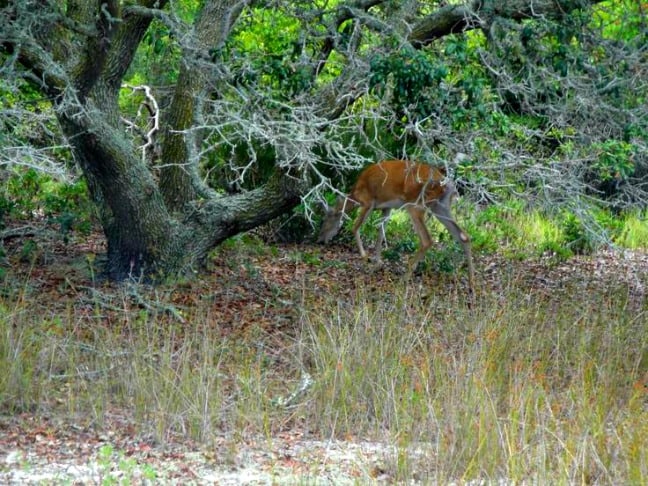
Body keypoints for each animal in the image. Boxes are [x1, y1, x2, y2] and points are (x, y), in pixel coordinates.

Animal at [316, 159, 474, 288]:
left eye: (325, 221)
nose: (319, 239)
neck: (354, 194)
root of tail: (444, 182)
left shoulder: (368, 201)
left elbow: (355, 227)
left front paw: (364, 257)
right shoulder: (386, 207)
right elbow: (380, 233)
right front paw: (377, 264)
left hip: (416, 204)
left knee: (427, 240)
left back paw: (404, 278)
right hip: (441, 205)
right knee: (463, 236)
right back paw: (471, 283)